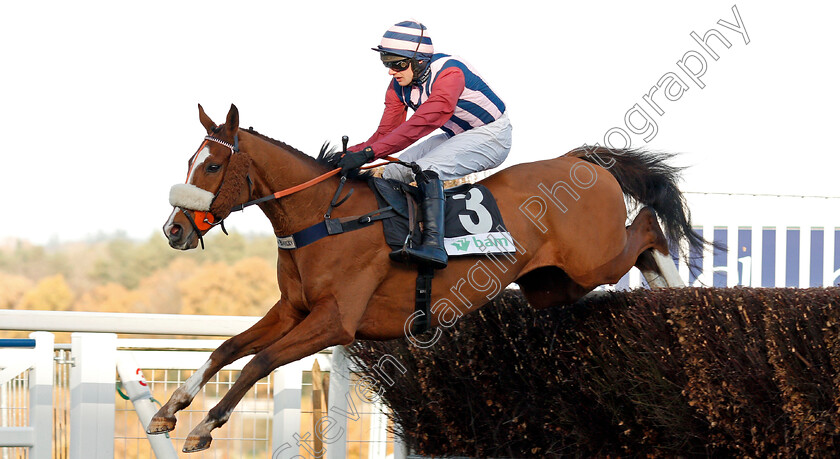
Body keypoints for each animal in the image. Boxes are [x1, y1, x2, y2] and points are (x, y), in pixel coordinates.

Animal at [148, 104, 700, 452]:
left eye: (212, 165)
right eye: (191, 161)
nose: (174, 229)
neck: (323, 217)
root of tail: (579, 161)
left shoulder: (335, 322)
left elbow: (257, 361)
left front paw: (204, 426)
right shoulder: (292, 310)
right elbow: (227, 349)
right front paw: (170, 408)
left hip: (594, 259)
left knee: (648, 228)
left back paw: (678, 290)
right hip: (554, 285)